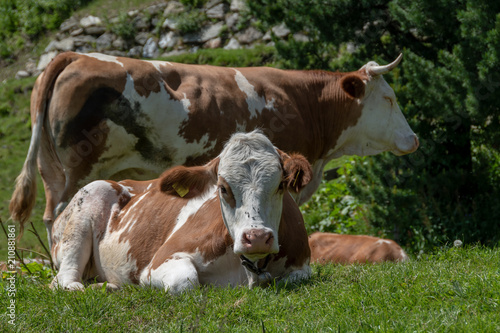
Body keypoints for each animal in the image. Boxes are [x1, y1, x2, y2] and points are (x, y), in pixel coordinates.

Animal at [9, 50, 420, 245]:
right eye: (389, 98)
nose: (413, 139)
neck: (304, 101)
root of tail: (79, 55)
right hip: (78, 168)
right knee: (60, 214)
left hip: (52, 168)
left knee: (49, 215)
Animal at [49, 131, 312, 292]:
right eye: (223, 188)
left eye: (280, 185)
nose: (256, 237)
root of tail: (124, 182)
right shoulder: (162, 259)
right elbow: (184, 282)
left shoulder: (303, 265)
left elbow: (295, 278)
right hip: (87, 202)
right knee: (63, 278)